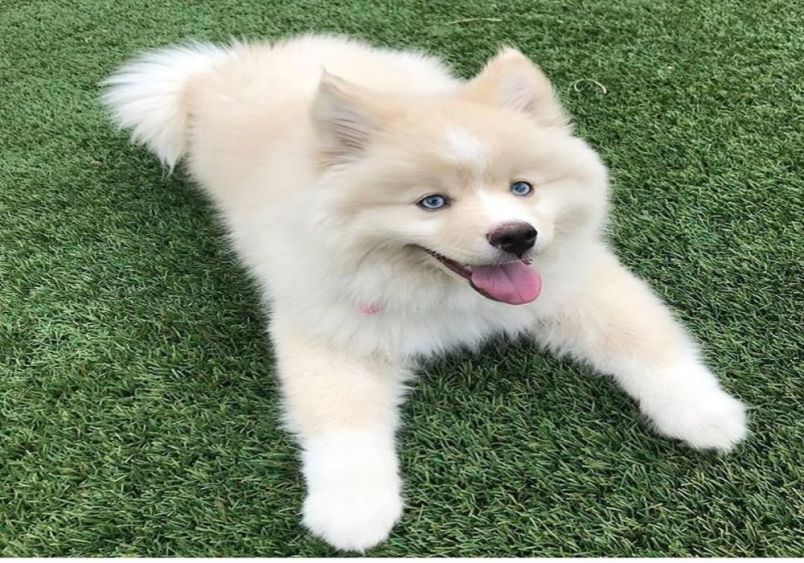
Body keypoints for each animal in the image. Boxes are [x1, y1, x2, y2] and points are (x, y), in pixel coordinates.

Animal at [103, 36, 752, 556]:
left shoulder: (578, 280)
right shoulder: (331, 329)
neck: (445, 293)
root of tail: (223, 65)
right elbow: (342, 425)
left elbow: (649, 343)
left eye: (522, 188)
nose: (517, 235)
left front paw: (705, 414)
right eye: (432, 202)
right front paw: (354, 511)